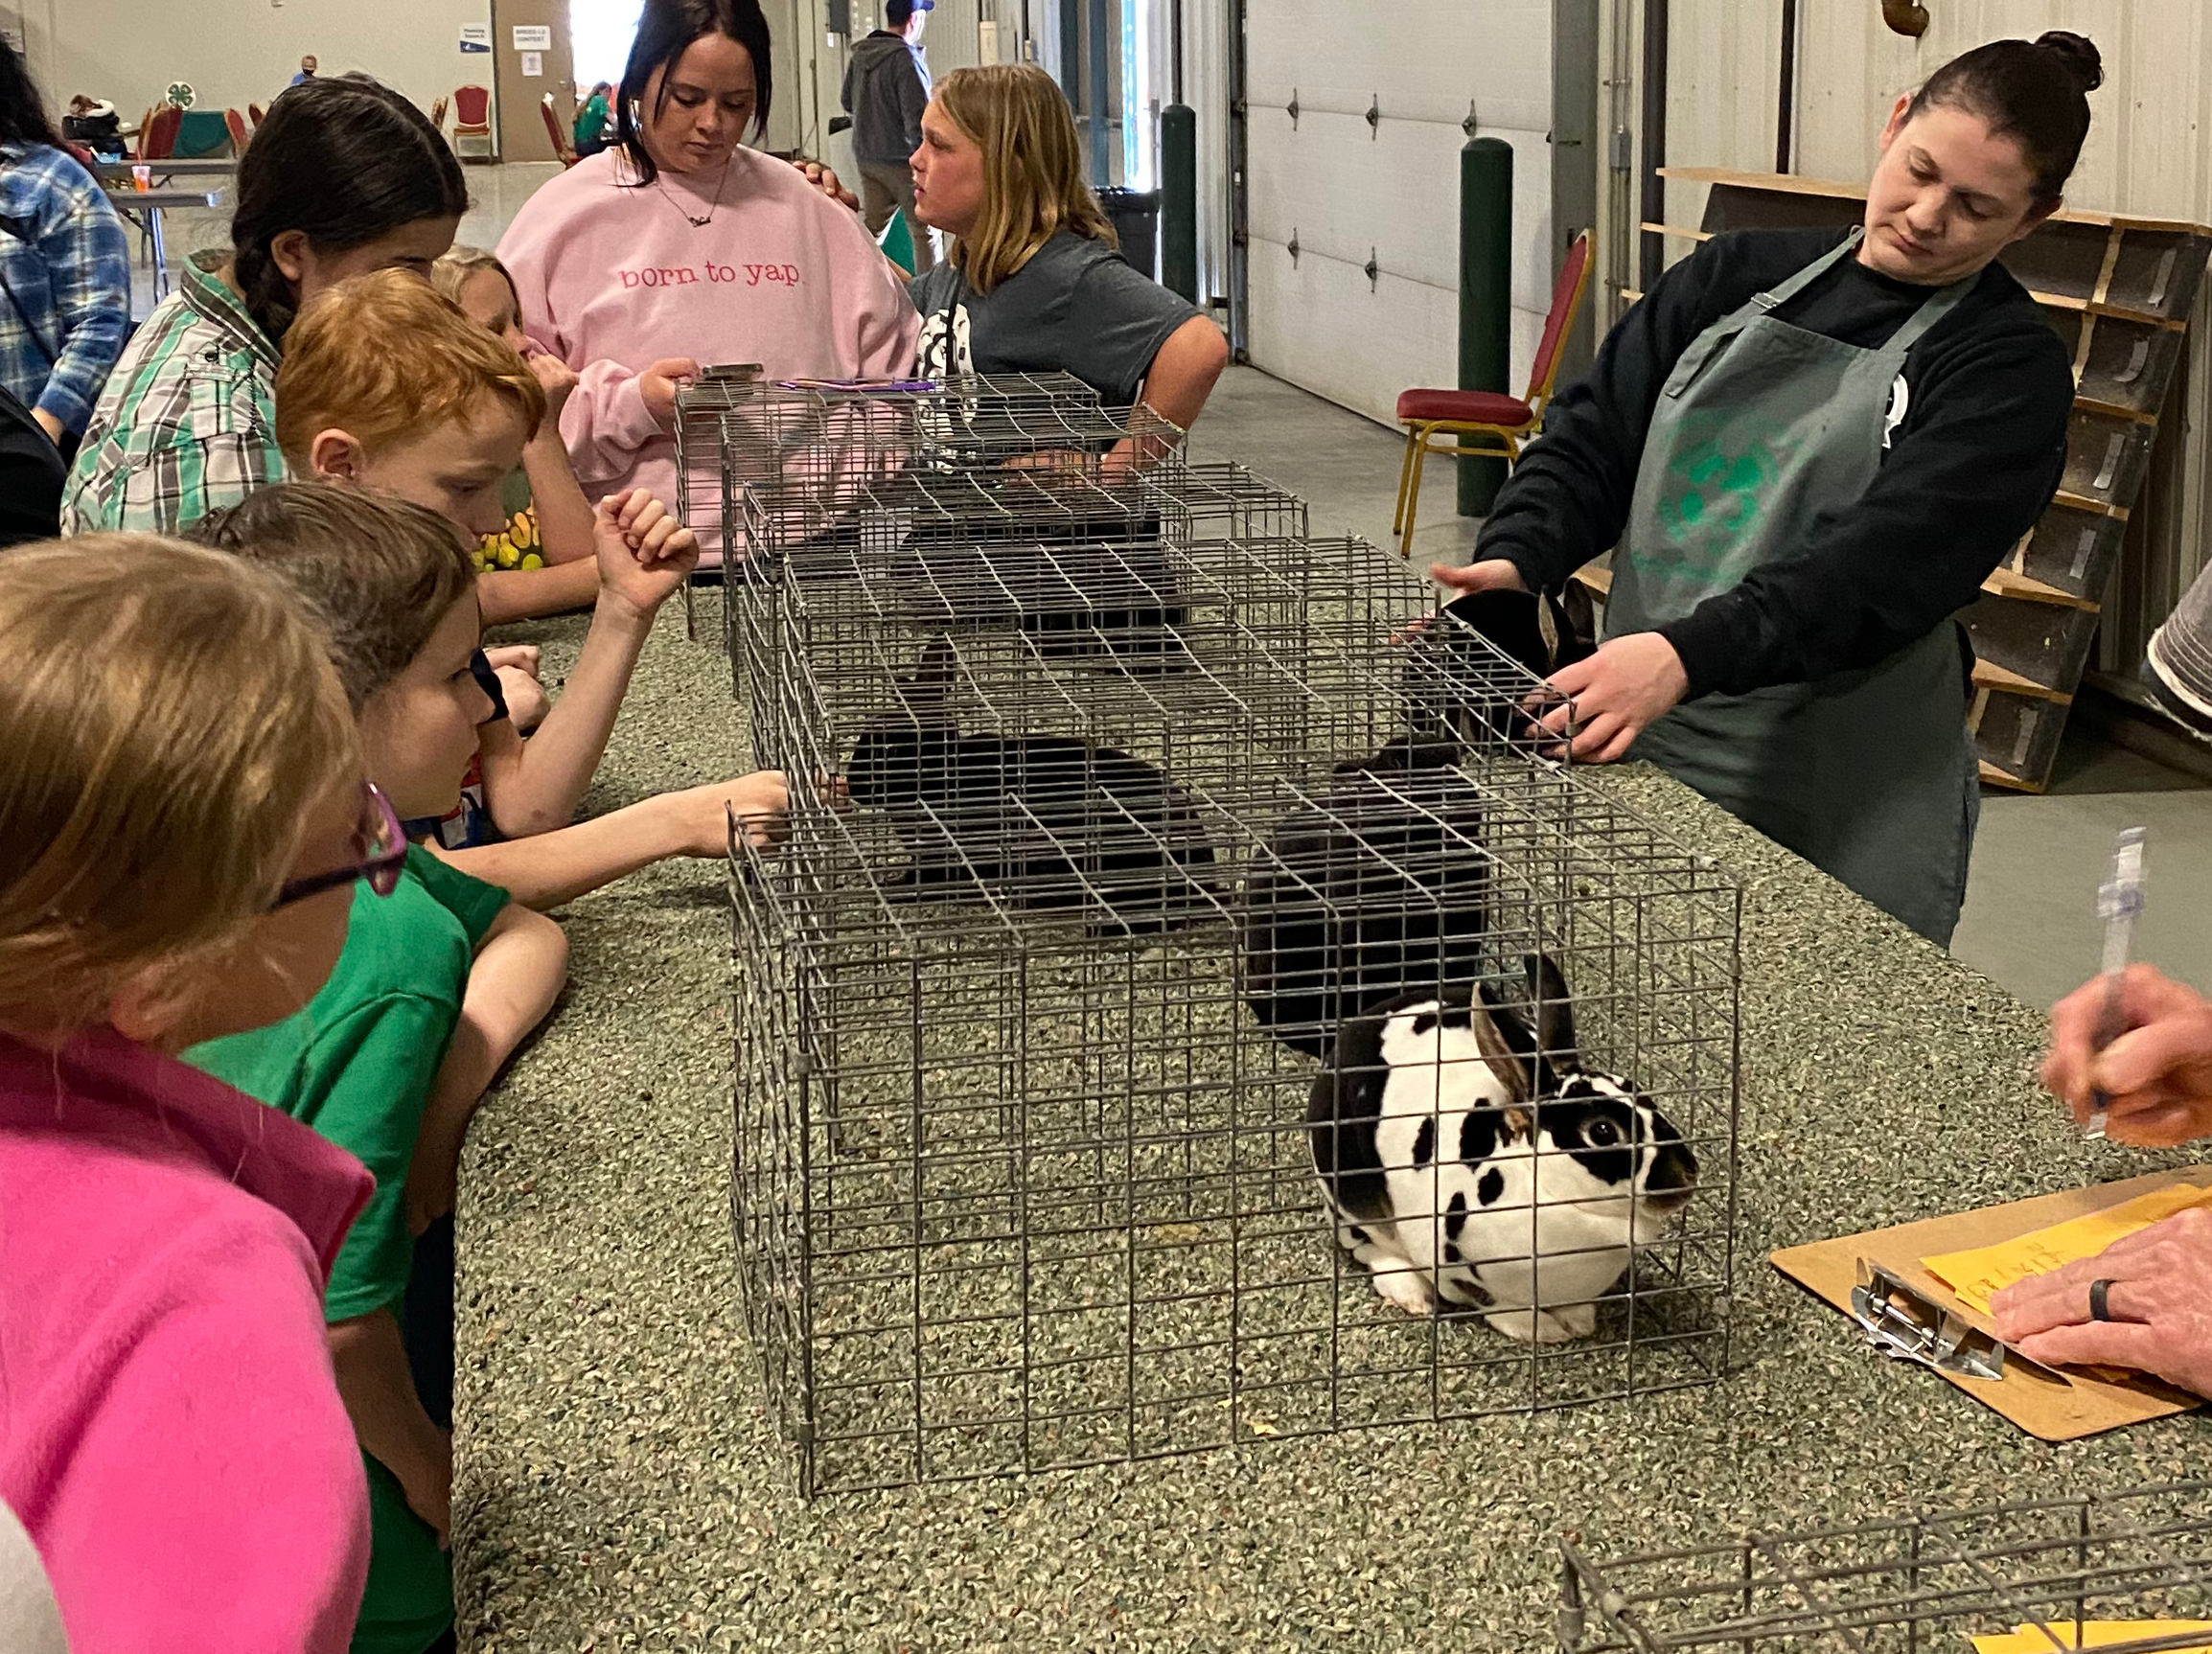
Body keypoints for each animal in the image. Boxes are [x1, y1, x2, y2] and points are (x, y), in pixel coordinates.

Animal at [1309, 954, 1690, 1344]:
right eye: (1602, 1131)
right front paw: (1544, 1331)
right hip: (1351, 1196)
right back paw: (1411, 1294)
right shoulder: (1458, 1270)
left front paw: (1579, 1321)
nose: (1686, 1175)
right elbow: (1498, 1306)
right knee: (1368, 1242)